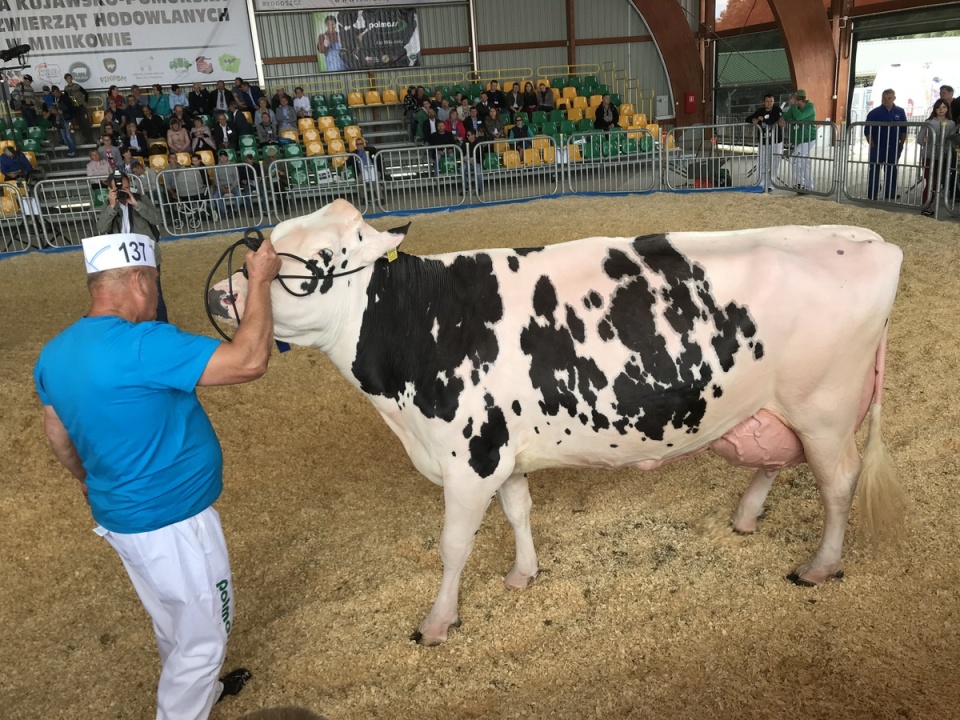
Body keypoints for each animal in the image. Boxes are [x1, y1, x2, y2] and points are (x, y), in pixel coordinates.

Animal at [210, 198, 908, 648]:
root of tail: (869, 239)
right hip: (773, 406)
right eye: (269, 242)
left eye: (320, 258)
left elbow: (453, 546)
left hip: (824, 410)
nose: (226, 291)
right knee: (775, 457)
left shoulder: (470, 458)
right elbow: (519, 512)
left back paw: (821, 565)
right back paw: (745, 516)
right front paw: (523, 575)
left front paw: (437, 622)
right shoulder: (502, 450)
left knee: (837, 483)